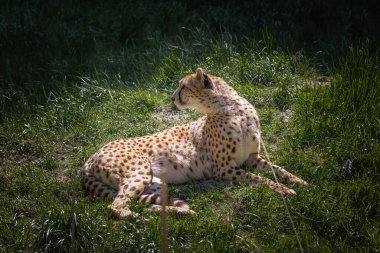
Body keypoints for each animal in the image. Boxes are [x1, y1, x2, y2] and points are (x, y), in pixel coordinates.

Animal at [81, 67, 308, 217]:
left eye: (183, 86)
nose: (172, 98)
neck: (233, 110)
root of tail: (89, 158)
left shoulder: (252, 159)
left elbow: (278, 170)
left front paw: (299, 181)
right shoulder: (224, 168)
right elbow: (260, 179)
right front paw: (285, 190)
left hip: (154, 182)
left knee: (140, 202)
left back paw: (182, 213)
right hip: (139, 172)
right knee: (117, 206)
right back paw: (140, 219)